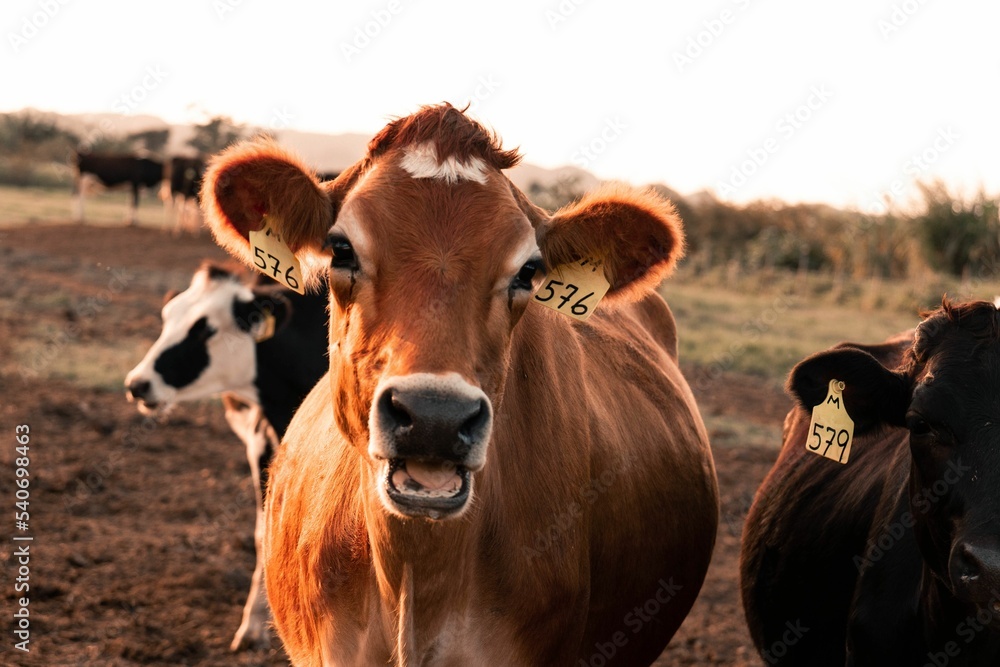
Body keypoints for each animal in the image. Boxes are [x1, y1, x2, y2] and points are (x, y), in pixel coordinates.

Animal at [123, 262, 328, 652]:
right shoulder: (264, 444)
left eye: (205, 329)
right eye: (167, 317)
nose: (137, 384)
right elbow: (268, 533)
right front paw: (255, 625)